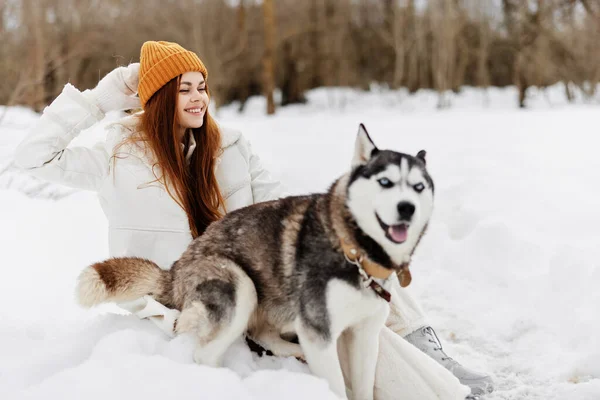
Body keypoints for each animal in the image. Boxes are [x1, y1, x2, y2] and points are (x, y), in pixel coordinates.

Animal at [77, 123, 434, 398]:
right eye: (385, 182)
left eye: (418, 187)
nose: (407, 208)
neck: (355, 252)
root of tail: (176, 269)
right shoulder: (319, 332)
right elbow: (334, 384)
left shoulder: (363, 334)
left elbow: (362, 386)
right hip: (240, 286)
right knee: (207, 353)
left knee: (264, 335)